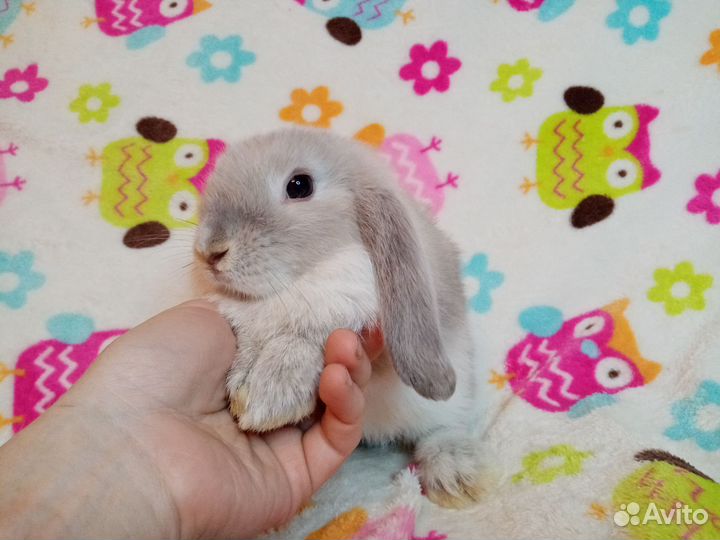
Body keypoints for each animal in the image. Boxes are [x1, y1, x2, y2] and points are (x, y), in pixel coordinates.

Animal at [193, 128, 487, 508]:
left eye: (299, 185)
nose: (209, 250)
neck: (304, 277)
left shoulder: (347, 312)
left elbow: (304, 340)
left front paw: (267, 398)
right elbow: (252, 342)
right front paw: (245, 387)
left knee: (445, 424)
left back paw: (453, 475)